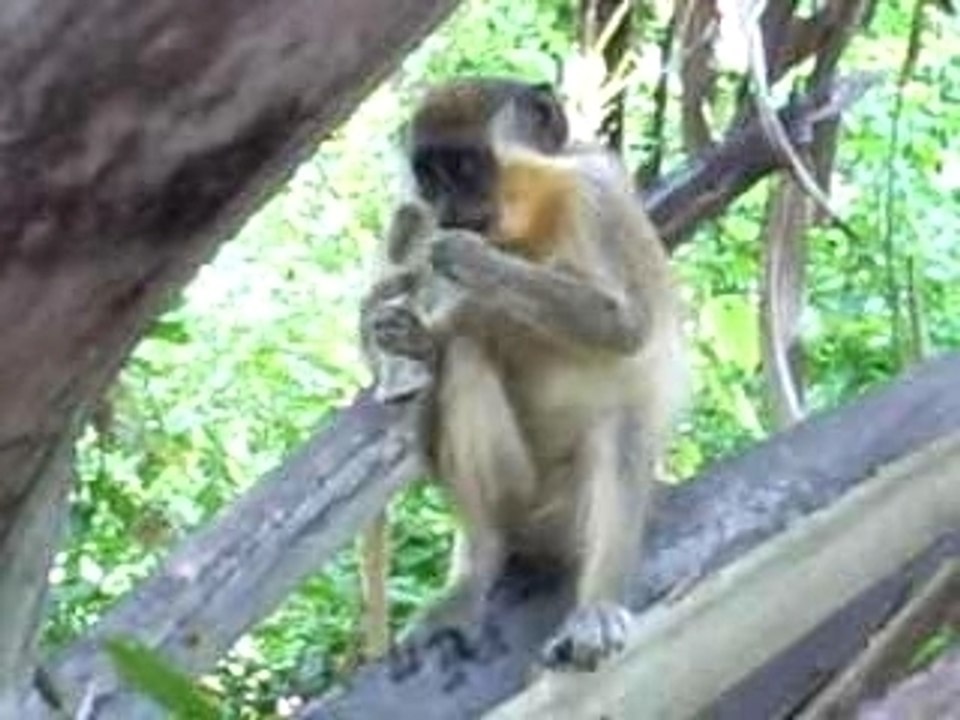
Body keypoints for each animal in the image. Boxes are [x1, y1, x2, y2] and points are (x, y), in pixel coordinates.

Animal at [361, 77, 686, 673]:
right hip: (521, 496)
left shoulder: (597, 190)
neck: (530, 214)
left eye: (464, 167)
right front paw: (416, 335)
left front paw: (474, 267)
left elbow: (627, 328)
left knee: (621, 430)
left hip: (566, 511)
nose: (446, 207)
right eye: (431, 175)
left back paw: (595, 608)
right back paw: (485, 557)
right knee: (464, 361)